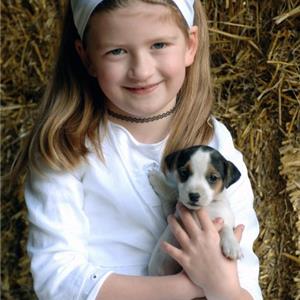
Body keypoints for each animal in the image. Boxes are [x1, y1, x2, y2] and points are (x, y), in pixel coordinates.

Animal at [149, 144, 243, 276]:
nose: (194, 196)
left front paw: (232, 245)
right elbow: (172, 192)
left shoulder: (225, 218)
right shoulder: (171, 215)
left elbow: (226, 228)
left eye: (213, 177)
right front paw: (157, 178)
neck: (206, 207)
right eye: (184, 172)